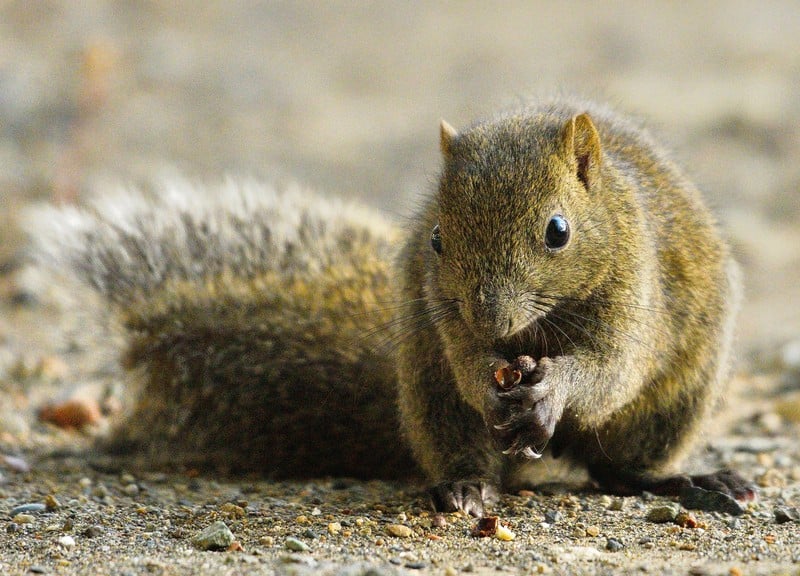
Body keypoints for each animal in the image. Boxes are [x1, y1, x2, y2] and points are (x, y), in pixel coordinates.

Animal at [28, 97, 756, 516]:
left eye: (558, 231)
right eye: (436, 239)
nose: (492, 321)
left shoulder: (637, 292)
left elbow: (608, 371)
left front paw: (554, 389)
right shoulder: (446, 318)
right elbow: (468, 364)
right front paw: (492, 385)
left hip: (673, 403)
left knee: (615, 469)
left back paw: (690, 483)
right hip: (428, 393)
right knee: (472, 452)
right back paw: (465, 487)